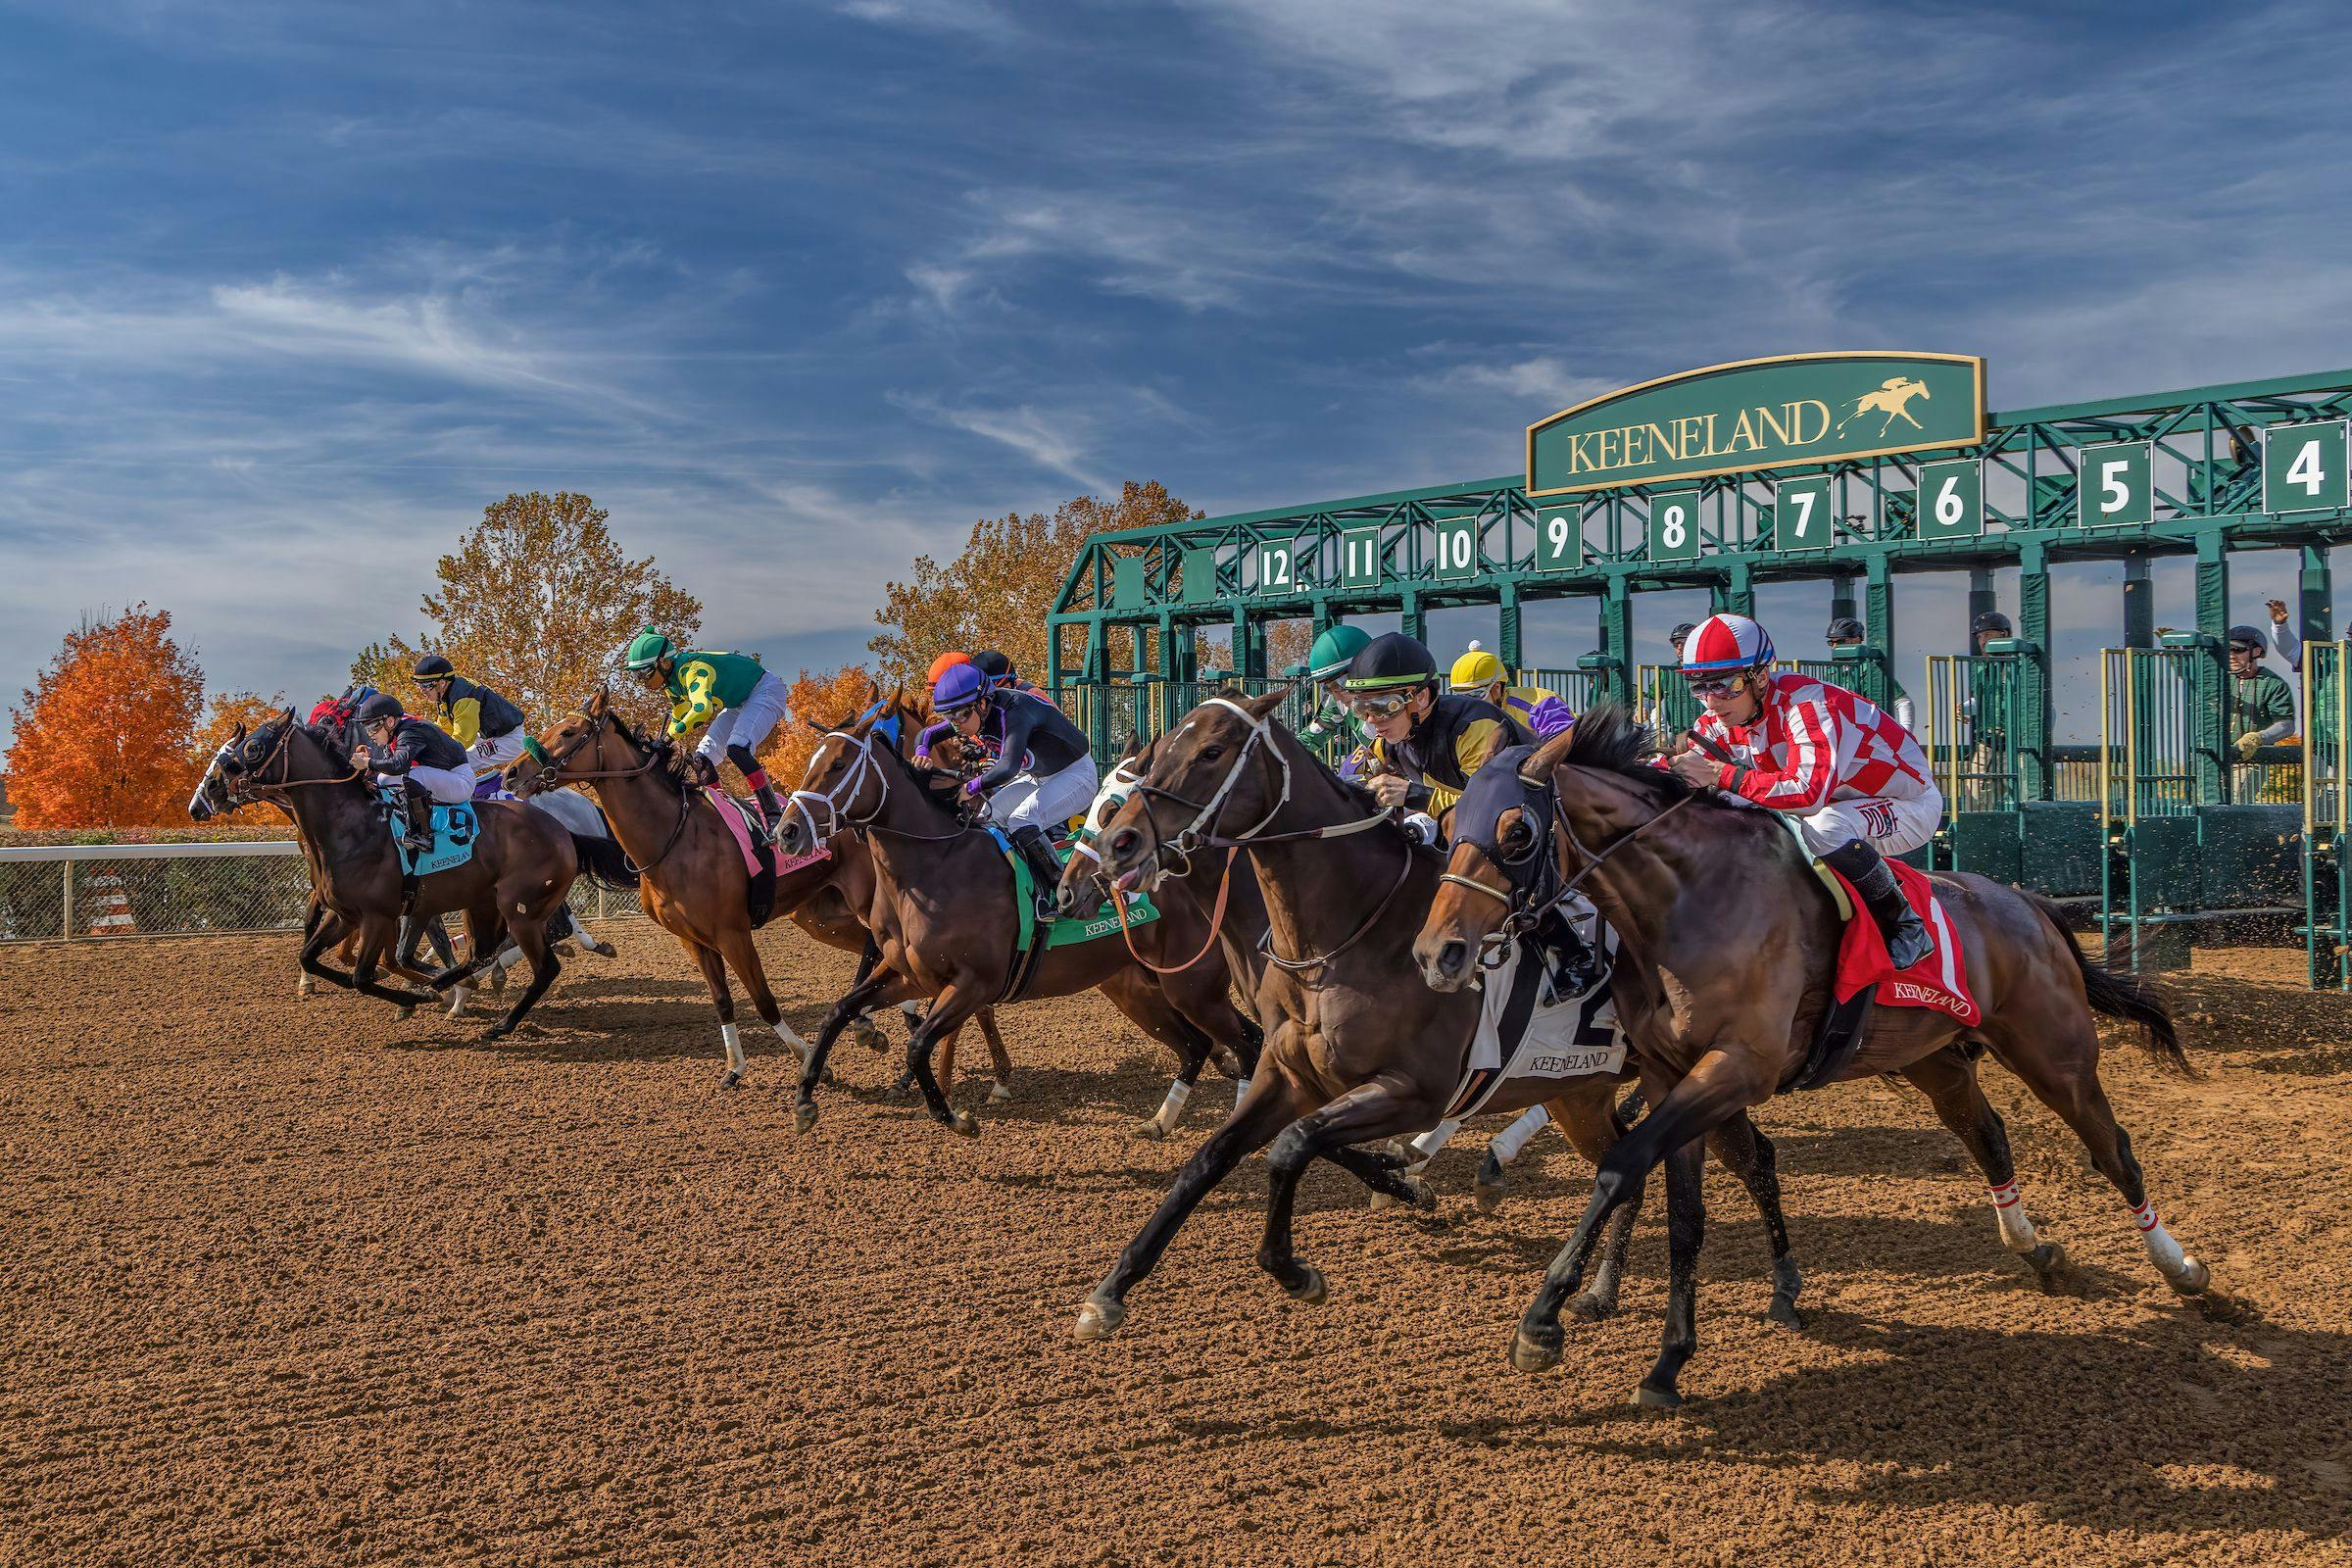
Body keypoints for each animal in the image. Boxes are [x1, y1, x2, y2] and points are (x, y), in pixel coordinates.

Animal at [197, 714, 592, 1034]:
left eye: (251, 747)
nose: (212, 789)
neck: (352, 825)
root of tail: (562, 831)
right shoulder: (348, 913)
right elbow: (314, 956)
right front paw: (413, 991)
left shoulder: (379, 915)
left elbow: (364, 975)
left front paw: (413, 995)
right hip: (483, 904)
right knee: (481, 952)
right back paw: (450, 986)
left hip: (518, 907)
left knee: (544, 964)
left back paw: (498, 1018)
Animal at [776, 700, 1260, 1142]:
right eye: (812, 761)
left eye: (838, 764)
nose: (786, 831)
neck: (935, 864)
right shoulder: (908, 973)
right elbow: (839, 1011)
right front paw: (804, 1100)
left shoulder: (973, 983)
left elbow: (918, 1045)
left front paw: (954, 1114)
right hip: (1138, 989)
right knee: (1198, 1045)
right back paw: (1162, 1120)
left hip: (1192, 986)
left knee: (1249, 1041)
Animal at [1072, 691, 1796, 1345]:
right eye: (1161, 750)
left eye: (1213, 751)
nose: (1118, 845)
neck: (1348, 933)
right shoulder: (1291, 1075)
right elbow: (1210, 1159)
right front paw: (1111, 1291)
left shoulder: (1413, 1091)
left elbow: (1294, 1146)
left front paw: (1300, 1266)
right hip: (1582, 1090)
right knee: (1626, 1164)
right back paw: (1599, 1289)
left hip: (1705, 1074)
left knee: (1753, 1157)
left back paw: (1785, 1290)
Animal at [1411, 710, 2220, 1410]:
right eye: (1450, 825)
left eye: (1518, 831)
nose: (1437, 953)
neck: (1688, 902)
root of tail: (2029, 904)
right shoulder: (1675, 1073)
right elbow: (1683, 1214)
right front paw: (1669, 1363)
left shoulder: (1736, 1068)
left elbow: (1621, 1166)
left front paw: (1543, 1320)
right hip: (1934, 1060)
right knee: (1987, 1135)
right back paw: (2035, 1248)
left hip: (2055, 1052)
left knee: (2113, 1150)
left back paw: (2180, 1266)